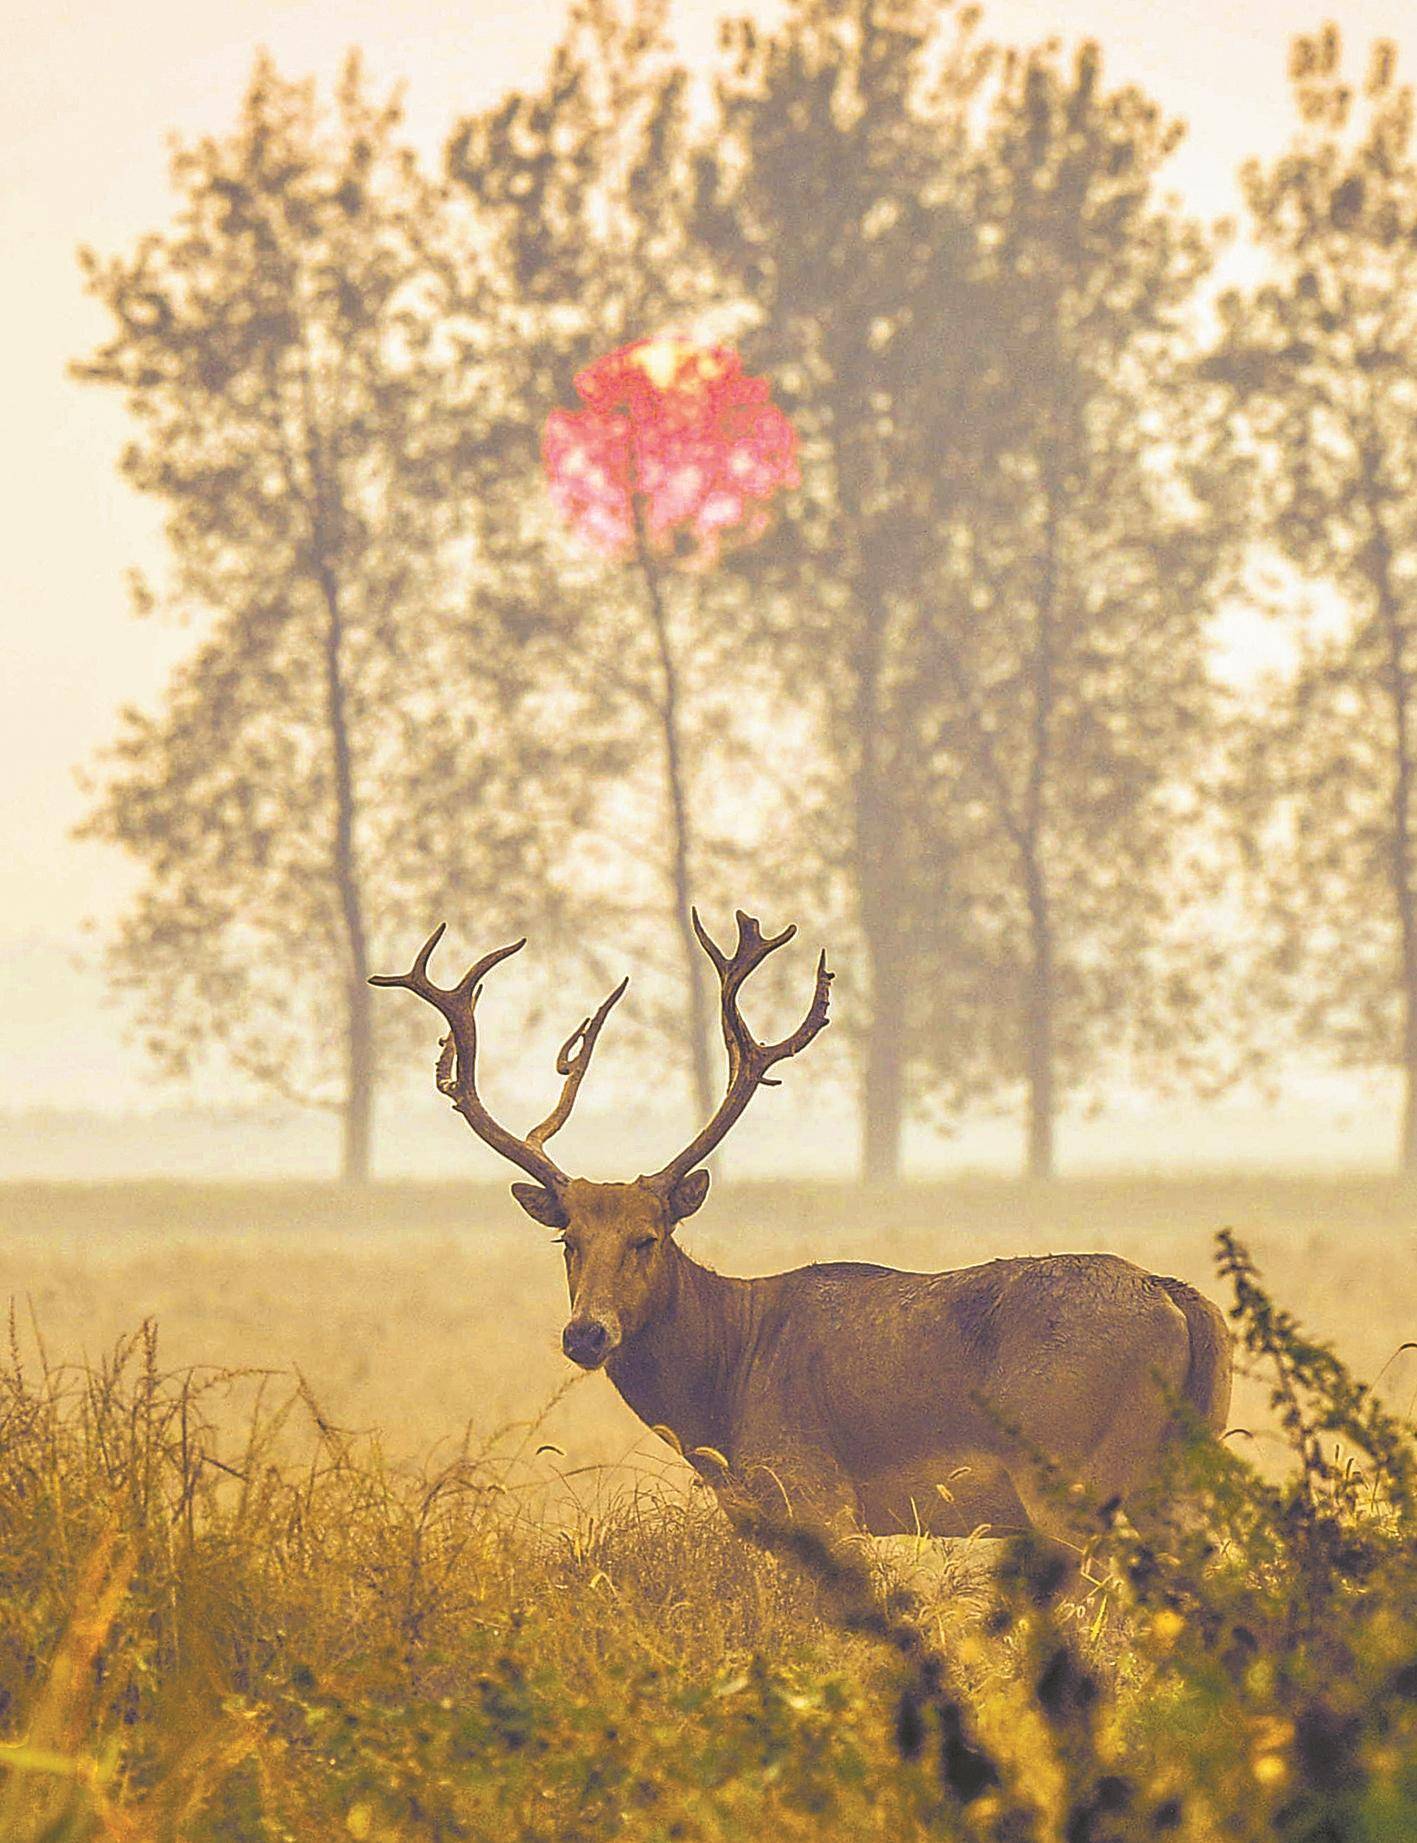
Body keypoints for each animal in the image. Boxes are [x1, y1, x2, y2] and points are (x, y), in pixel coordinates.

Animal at [370, 906, 1230, 1555]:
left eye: (649, 1235)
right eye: (567, 1240)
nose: (585, 1333)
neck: (723, 1389)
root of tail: (1176, 1298)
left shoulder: (814, 1493)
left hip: (1073, 1475)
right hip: (1180, 1476)